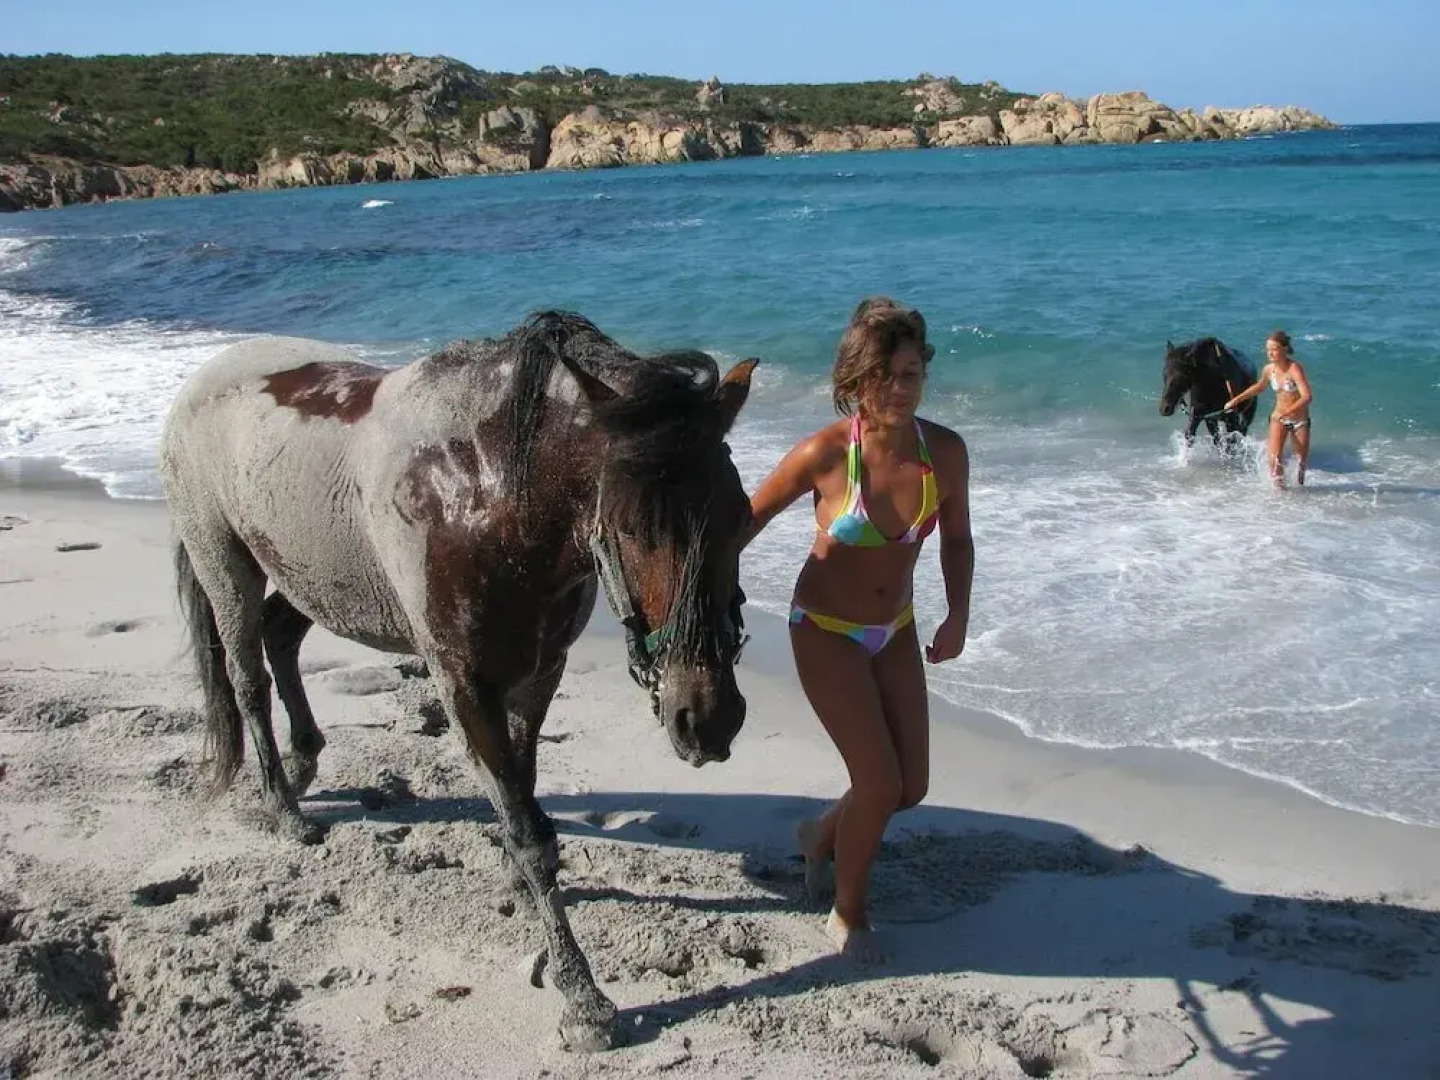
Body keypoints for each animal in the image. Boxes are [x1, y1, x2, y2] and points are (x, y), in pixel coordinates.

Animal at [159, 311, 757, 1051]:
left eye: (742, 516)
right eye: (629, 526)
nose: (706, 718)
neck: (488, 496)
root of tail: (200, 381)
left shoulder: (539, 674)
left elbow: (523, 794)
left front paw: (516, 883)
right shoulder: (463, 686)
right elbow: (529, 832)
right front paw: (582, 997)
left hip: (315, 577)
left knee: (280, 638)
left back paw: (303, 763)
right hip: (225, 566)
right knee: (246, 678)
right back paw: (283, 807)